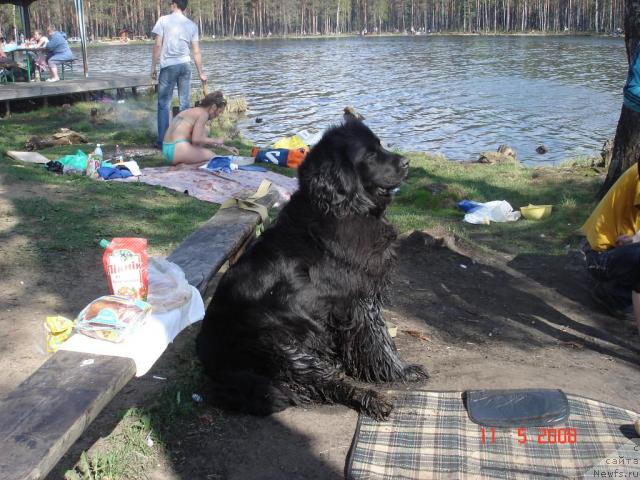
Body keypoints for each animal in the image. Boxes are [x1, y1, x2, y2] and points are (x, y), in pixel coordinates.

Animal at [194, 121, 424, 420]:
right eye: (371, 155)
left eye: (381, 145)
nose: (407, 163)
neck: (341, 207)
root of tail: (212, 363)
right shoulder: (357, 299)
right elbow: (379, 340)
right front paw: (398, 372)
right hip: (280, 345)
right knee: (326, 383)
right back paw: (370, 399)